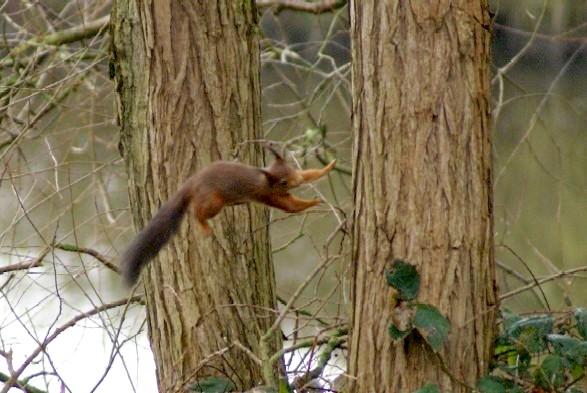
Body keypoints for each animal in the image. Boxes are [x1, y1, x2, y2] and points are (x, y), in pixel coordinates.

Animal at [121, 149, 336, 284]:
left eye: (291, 169)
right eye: (283, 181)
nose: (296, 182)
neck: (266, 180)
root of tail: (192, 183)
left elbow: (310, 174)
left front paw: (329, 166)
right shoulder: (269, 195)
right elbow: (292, 206)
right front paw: (313, 202)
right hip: (213, 202)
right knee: (196, 212)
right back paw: (203, 226)